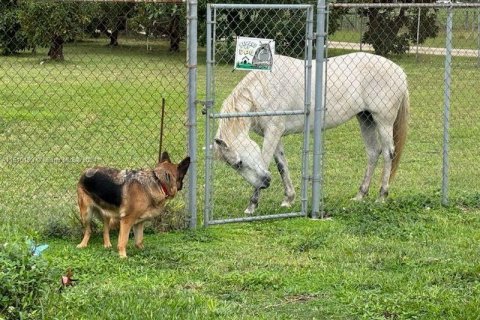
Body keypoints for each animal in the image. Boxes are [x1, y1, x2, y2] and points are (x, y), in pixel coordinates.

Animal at [214, 52, 408, 214]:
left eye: (239, 163)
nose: (265, 182)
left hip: (383, 121)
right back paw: (360, 195)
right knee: (373, 152)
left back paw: (381, 196)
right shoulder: (275, 134)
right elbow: (281, 165)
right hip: (365, 119)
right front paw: (288, 199)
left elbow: (266, 161)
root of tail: (399, 71)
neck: (264, 89)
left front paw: (252, 206)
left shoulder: (273, 132)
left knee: (388, 154)